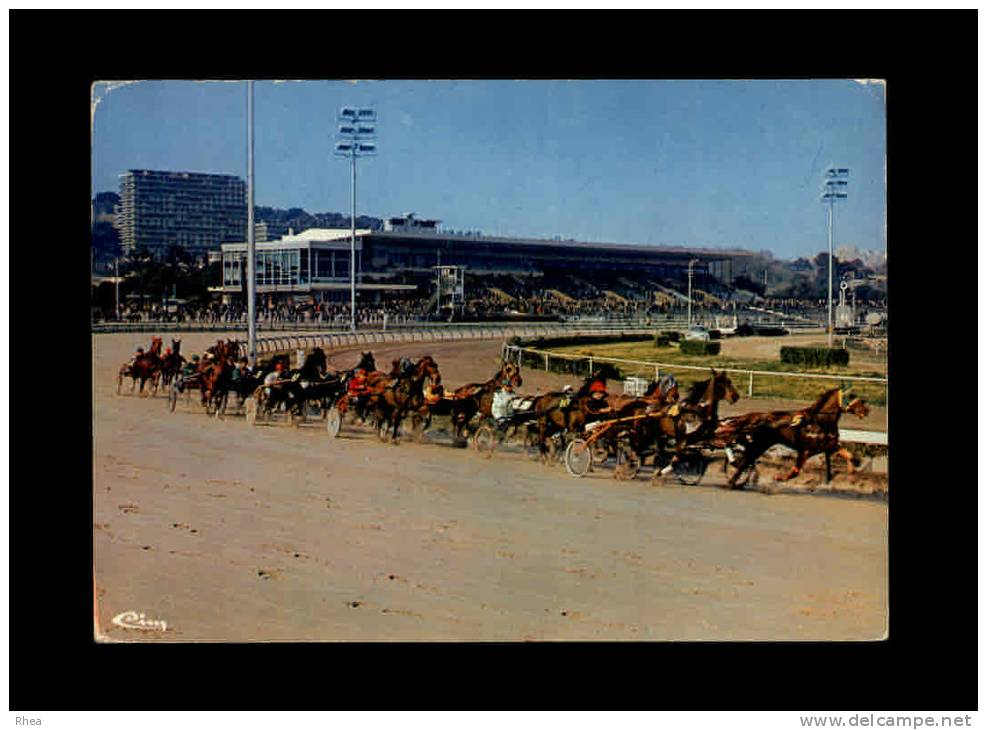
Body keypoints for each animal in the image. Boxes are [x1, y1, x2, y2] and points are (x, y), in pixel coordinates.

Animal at [712, 386, 872, 490]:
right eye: (851, 397)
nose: (866, 410)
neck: (819, 422)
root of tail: (757, 416)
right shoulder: (805, 450)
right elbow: (795, 471)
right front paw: (778, 478)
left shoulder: (830, 445)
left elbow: (849, 455)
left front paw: (852, 470)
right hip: (759, 443)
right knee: (745, 460)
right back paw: (733, 480)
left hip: (761, 444)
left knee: (746, 460)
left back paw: (735, 479)